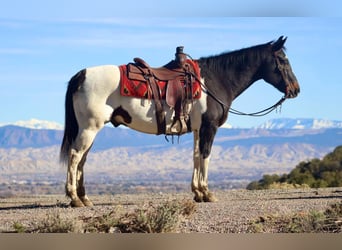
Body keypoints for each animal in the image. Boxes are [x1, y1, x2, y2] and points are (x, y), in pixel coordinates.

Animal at [60, 35, 300, 207]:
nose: (296, 89)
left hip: (90, 130)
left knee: (82, 160)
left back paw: (85, 198)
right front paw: (207, 193)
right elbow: (205, 156)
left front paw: (197, 193)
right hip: (89, 128)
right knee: (75, 156)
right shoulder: (209, 128)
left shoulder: (197, 129)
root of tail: (81, 75)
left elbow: (195, 157)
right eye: (283, 60)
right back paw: (74, 198)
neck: (214, 81)